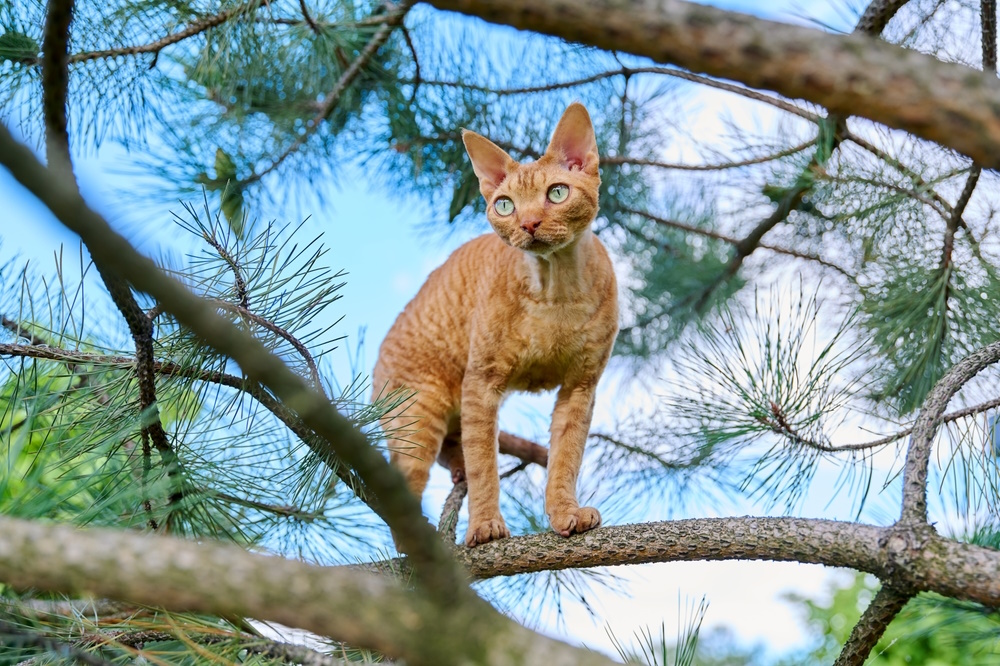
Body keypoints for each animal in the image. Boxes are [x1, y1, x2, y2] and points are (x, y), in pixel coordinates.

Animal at [374, 102, 616, 544]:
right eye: (505, 205)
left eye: (557, 193)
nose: (529, 223)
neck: (556, 290)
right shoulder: (481, 381)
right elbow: (484, 461)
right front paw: (485, 525)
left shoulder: (582, 384)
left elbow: (566, 455)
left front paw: (564, 512)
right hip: (418, 413)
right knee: (406, 484)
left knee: (455, 449)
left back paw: (456, 471)